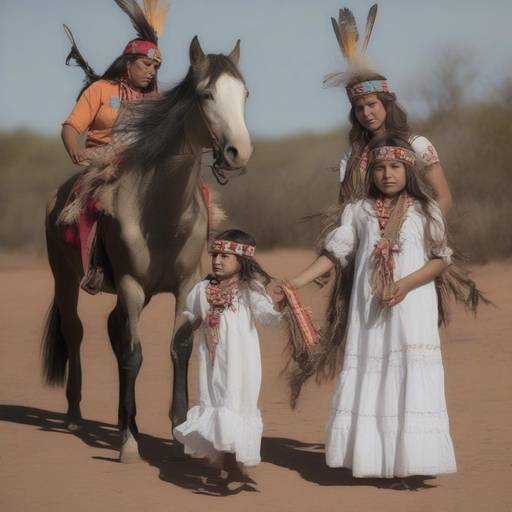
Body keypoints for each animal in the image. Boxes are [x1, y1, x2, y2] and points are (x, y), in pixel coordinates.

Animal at [41, 38, 252, 464]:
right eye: (206, 94)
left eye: (245, 95)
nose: (240, 151)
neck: (160, 210)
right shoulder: (130, 284)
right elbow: (133, 354)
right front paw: (128, 444)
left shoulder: (185, 284)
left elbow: (179, 349)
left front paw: (178, 432)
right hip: (65, 277)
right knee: (76, 330)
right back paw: (74, 414)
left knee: (111, 327)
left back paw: (128, 419)